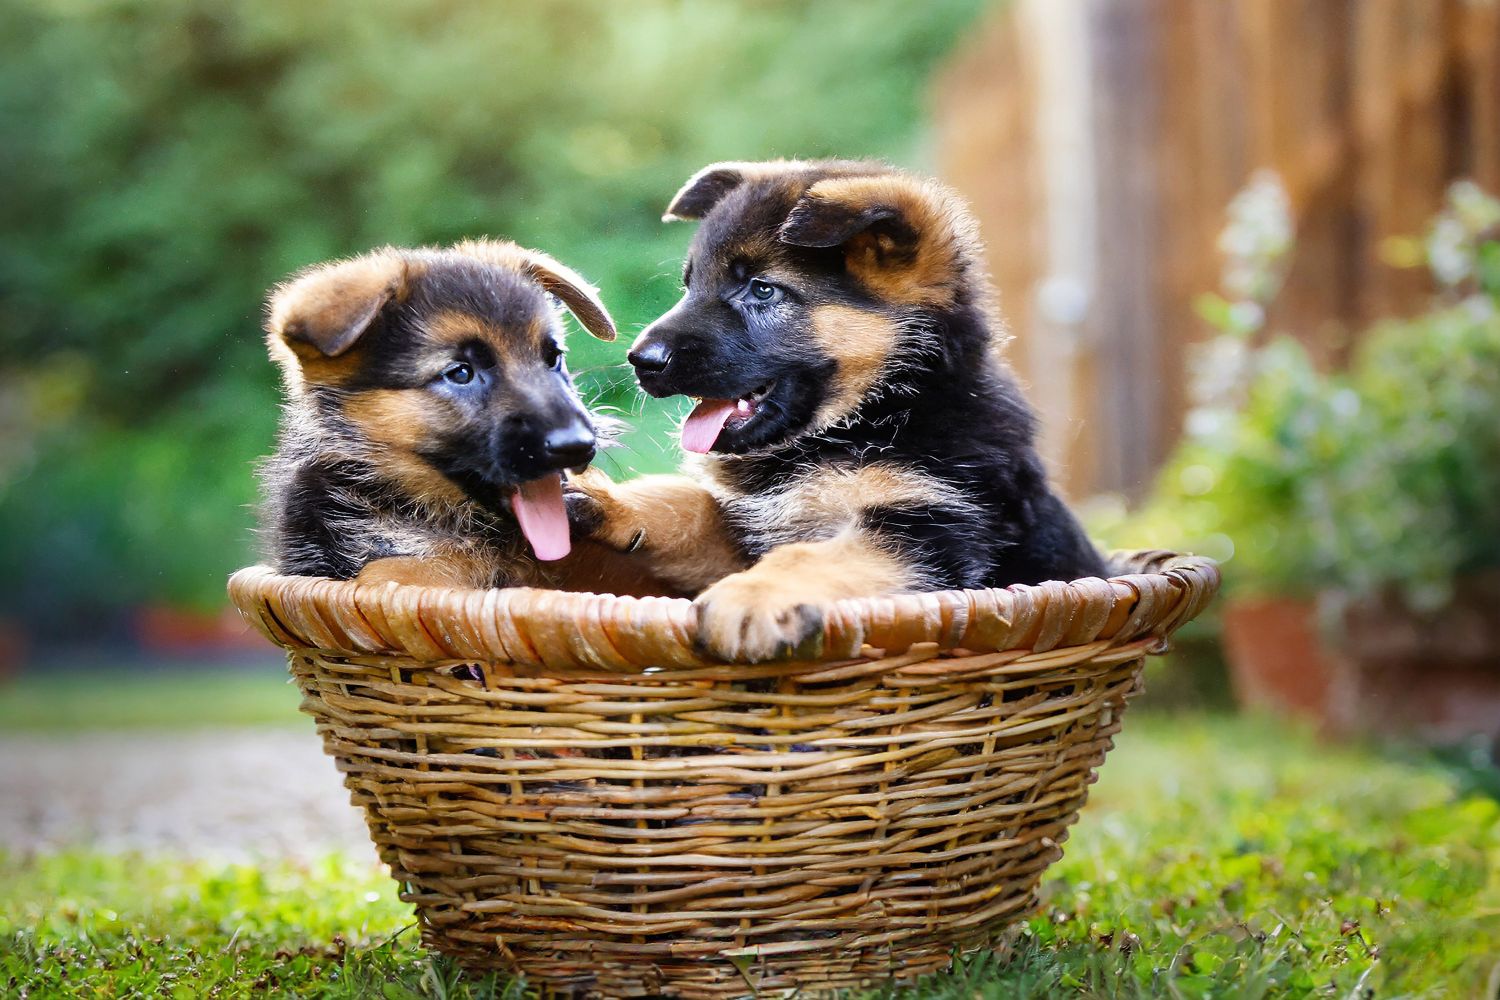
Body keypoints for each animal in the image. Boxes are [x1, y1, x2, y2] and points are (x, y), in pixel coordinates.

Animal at [573, 162, 1104, 665]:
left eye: (762, 290)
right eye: (689, 284)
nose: (640, 360)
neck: (873, 415)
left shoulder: (931, 529)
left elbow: (805, 557)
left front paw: (752, 596)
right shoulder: (745, 530)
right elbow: (684, 500)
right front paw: (611, 500)